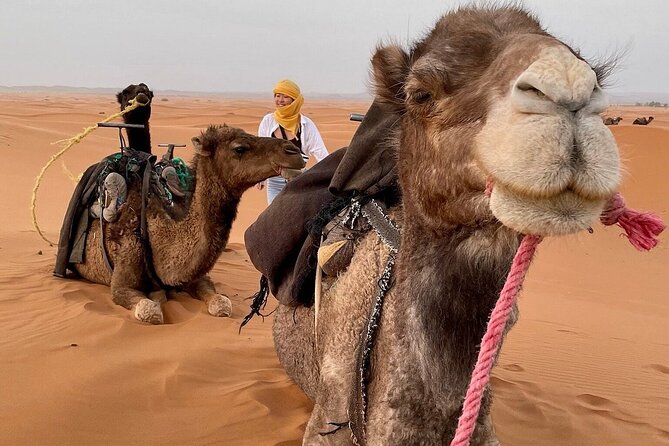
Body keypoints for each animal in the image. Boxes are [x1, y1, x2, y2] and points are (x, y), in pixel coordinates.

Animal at [73, 125, 305, 324]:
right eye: (239, 148)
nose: (294, 152)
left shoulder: (197, 277)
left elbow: (222, 304)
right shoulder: (121, 282)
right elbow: (151, 311)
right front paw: (157, 299)